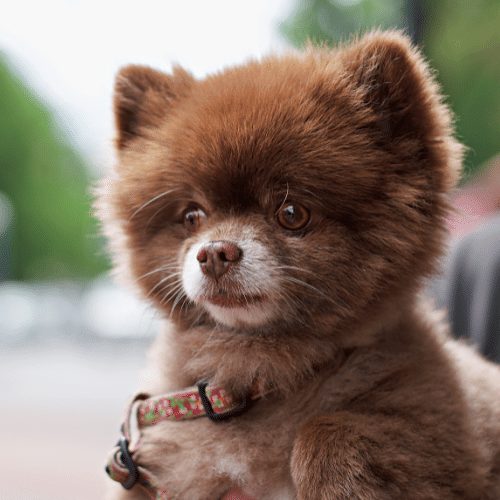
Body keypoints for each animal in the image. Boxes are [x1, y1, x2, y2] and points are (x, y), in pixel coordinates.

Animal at [98, 32, 500, 500]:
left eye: (292, 213)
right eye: (192, 216)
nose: (214, 252)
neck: (262, 375)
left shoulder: (446, 438)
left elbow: (324, 430)